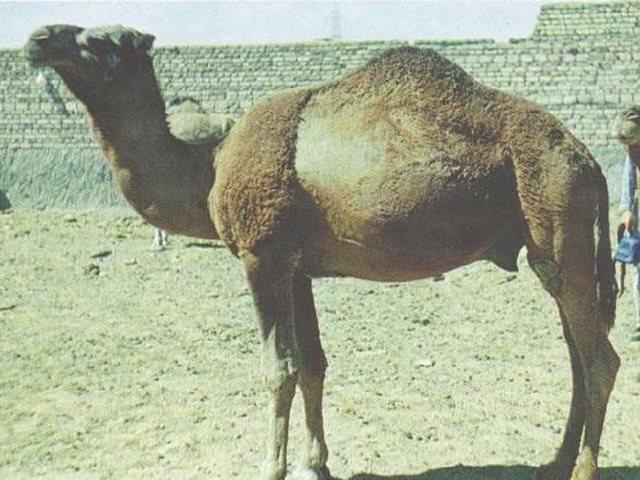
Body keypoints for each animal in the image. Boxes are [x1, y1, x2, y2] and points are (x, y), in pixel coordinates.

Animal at [25, 24, 620, 480]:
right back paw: (554, 461)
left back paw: (582, 469)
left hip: (557, 215)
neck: (210, 167)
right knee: (576, 350)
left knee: (600, 359)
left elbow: (278, 367)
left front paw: (271, 467)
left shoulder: (261, 255)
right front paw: (317, 463)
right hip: (551, 242)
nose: (37, 38)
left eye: (102, 41)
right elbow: (313, 364)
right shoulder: (298, 267)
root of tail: (588, 158)